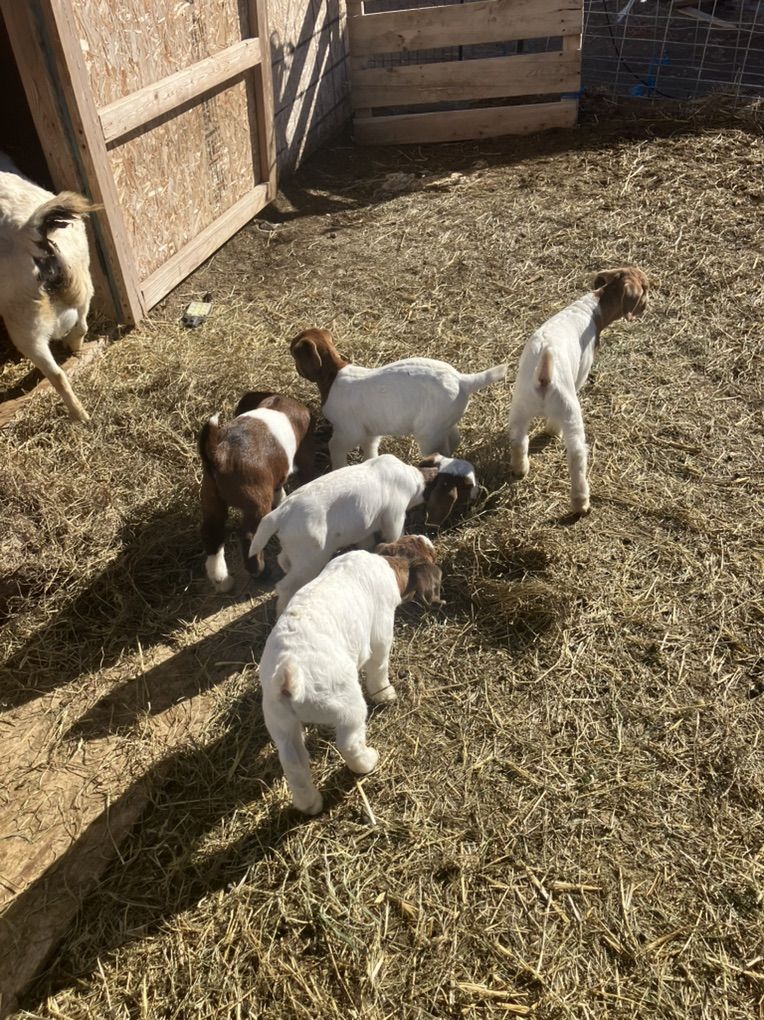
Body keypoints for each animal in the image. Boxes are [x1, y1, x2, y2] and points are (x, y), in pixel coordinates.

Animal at [0, 155, 97, 421]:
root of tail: (28, 234)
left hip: (25, 323)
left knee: (56, 374)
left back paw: (80, 416)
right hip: (83, 276)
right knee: (82, 323)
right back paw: (75, 348)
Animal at [198, 391, 314, 592]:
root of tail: (218, 455)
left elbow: (279, 491)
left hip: (211, 498)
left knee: (212, 533)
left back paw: (222, 581)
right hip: (256, 501)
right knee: (249, 536)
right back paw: (260, 572)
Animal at [259, 537, 439, 814]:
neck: (389, 562)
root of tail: (290, 671)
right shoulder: (381, 633)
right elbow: (379, 666)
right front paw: (386, 695)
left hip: (279, 719)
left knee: (293, 762)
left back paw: (310, 805)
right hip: (345, 706)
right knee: (348, 743)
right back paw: (369, 760)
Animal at [289, 327, 507, 468]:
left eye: (293, 353)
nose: (297, 370)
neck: (333, 375)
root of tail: (463, 380)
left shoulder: (348, 431)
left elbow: (335, 448)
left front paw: (338, 469)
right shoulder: (370, 431)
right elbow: (370, 449)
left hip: (428, 432)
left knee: (440, 450)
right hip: (444, 421)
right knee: (454, 439)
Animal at [508, 267, 649, 514]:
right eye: (646, 288)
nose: (647, 306)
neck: (593, 307)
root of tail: (543, 373)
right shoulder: (582, 372)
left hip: (520, 405)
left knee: (518, 440)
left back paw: (520, 469)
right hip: (569, 409)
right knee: (576, 455)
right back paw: (581, 502)